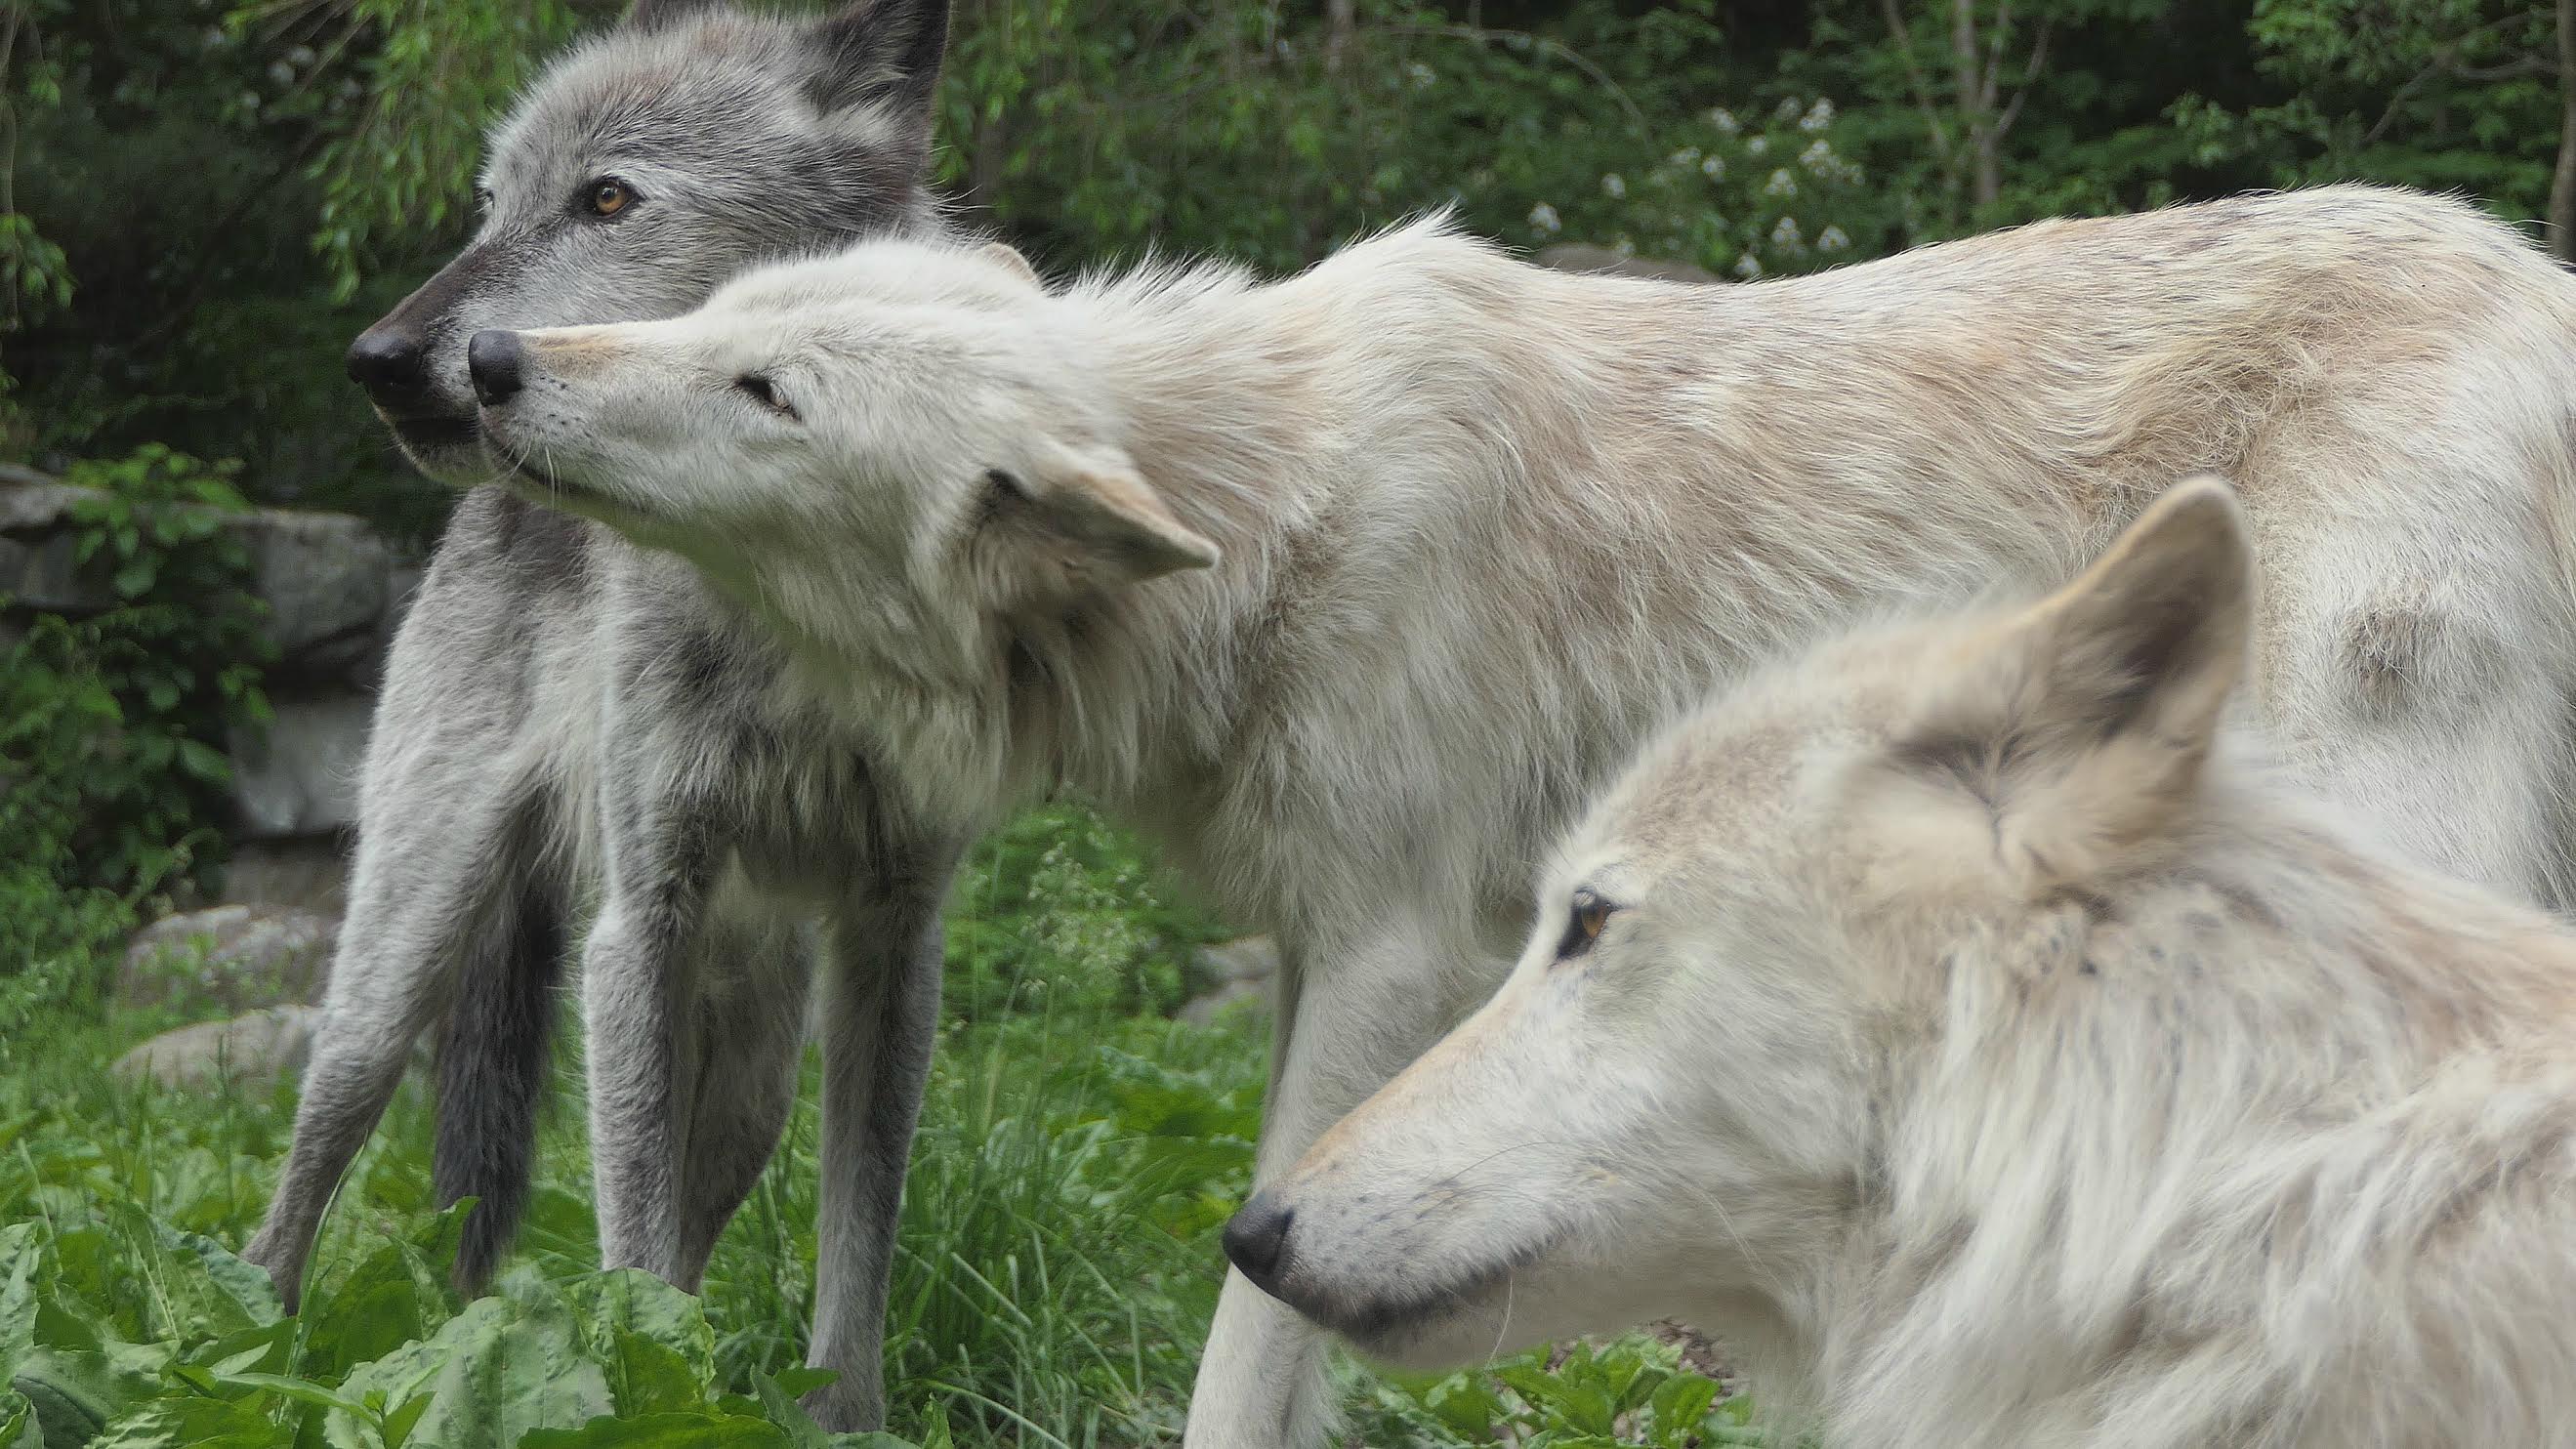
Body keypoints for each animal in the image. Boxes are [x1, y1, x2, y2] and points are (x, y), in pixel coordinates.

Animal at [238, 0, 962, 1429]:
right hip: (400, 965)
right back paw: (242, 1360)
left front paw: (835, 1425)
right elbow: (630, 1240)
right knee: (304, 1176)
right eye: (489, 204)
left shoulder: (893, 945)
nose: (379, 362)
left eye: (609, 198)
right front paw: (638, 1394)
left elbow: (854, 1252)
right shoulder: (639, 928)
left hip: (753, 1062)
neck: (786, 608)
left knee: (689, 1220)